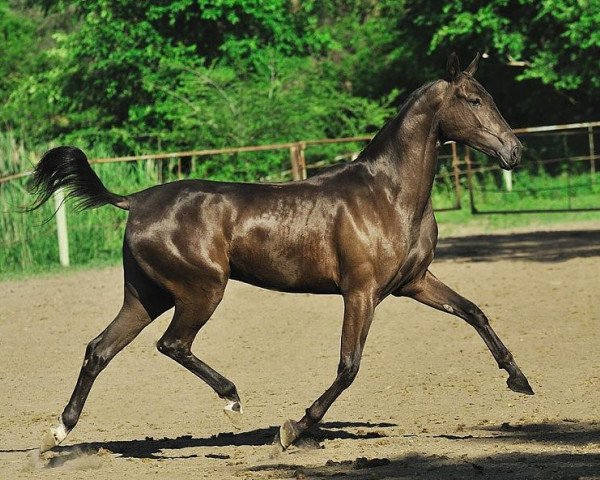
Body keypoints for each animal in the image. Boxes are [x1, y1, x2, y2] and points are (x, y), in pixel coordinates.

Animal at [30, 53, 532, 454]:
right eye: (473, 100)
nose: (515, 152)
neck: (388, 195)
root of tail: (134, 200)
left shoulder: (414, 282)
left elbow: (473, 311)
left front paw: (519, 380)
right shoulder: (361, 292)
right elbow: (349, 366)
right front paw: (295, 428)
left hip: (146, 296)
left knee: (100, 349)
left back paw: (60, 432)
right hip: (200, 290)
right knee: (172, 344)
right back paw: (232, 400)